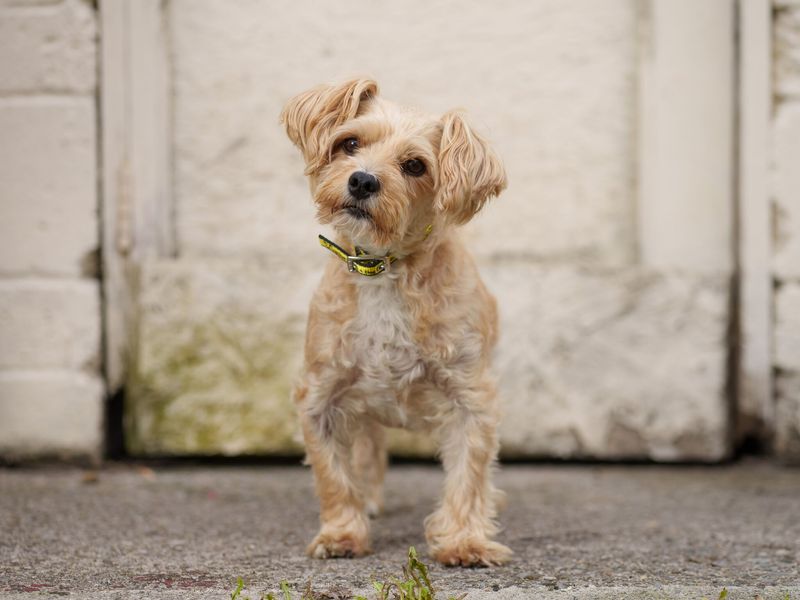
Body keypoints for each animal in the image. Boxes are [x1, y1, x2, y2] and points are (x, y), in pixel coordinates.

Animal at [278, 76, 510, 568]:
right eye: (349, 143)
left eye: (415, 165)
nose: (362, 179)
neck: (382, 271)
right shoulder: (320, 394)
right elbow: (334, 475)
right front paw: (342, 534)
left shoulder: (471, 396)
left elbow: (469, 474)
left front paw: (464, 541)